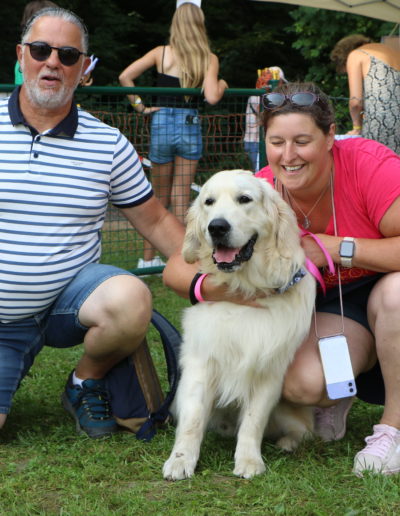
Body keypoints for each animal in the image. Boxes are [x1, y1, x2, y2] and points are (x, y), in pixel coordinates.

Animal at [163, 170, 316, 480]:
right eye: (208, 202)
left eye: (244, 199)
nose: (217, 227)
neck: (244, 288)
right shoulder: (201, 364)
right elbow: (192, 421)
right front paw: (181, 459)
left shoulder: (269, 371)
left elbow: (253, 422)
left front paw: (248, 460)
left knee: (305, 430)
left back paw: (288, 442)